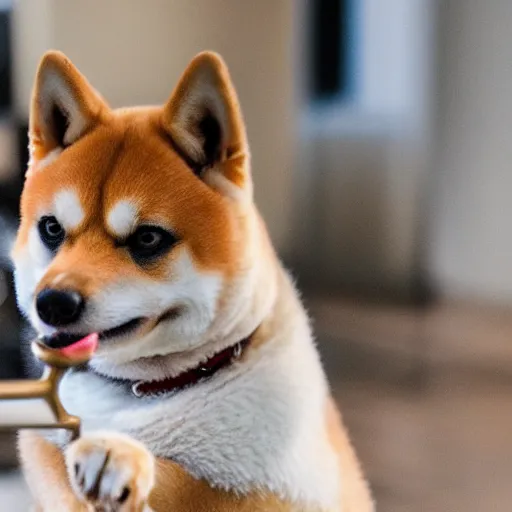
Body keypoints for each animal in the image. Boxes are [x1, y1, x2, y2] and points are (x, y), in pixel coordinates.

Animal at [10, 49, 374, 512]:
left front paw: (119, 461)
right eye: (52, 229)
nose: (53, 303)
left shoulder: (278, 492)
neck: (147, 392)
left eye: (148, 238)